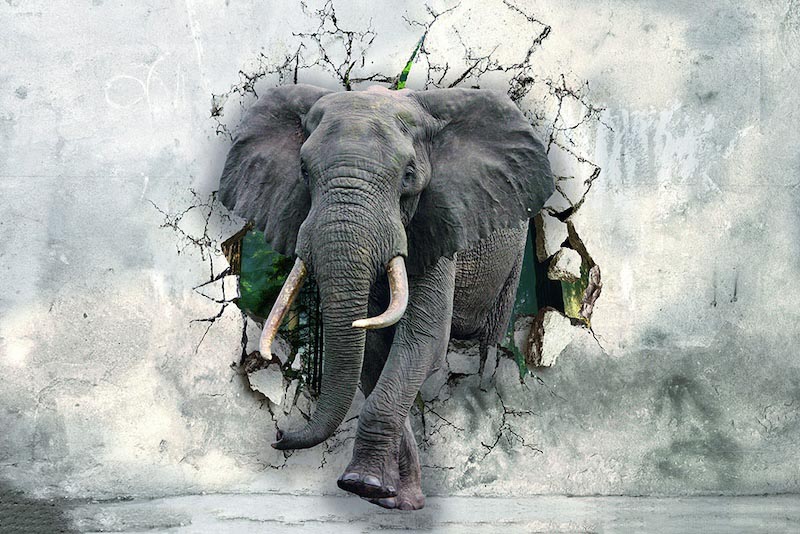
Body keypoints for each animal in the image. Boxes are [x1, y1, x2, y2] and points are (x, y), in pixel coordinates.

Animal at [218, 83, 554, 510]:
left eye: (408, 175)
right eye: (304, 171)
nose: (279, 436)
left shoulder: (436, 224)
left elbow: (423, 341)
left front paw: (366, 486)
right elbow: (373, 352)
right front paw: (389, 497)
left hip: (513, 253)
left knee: (488, 341)